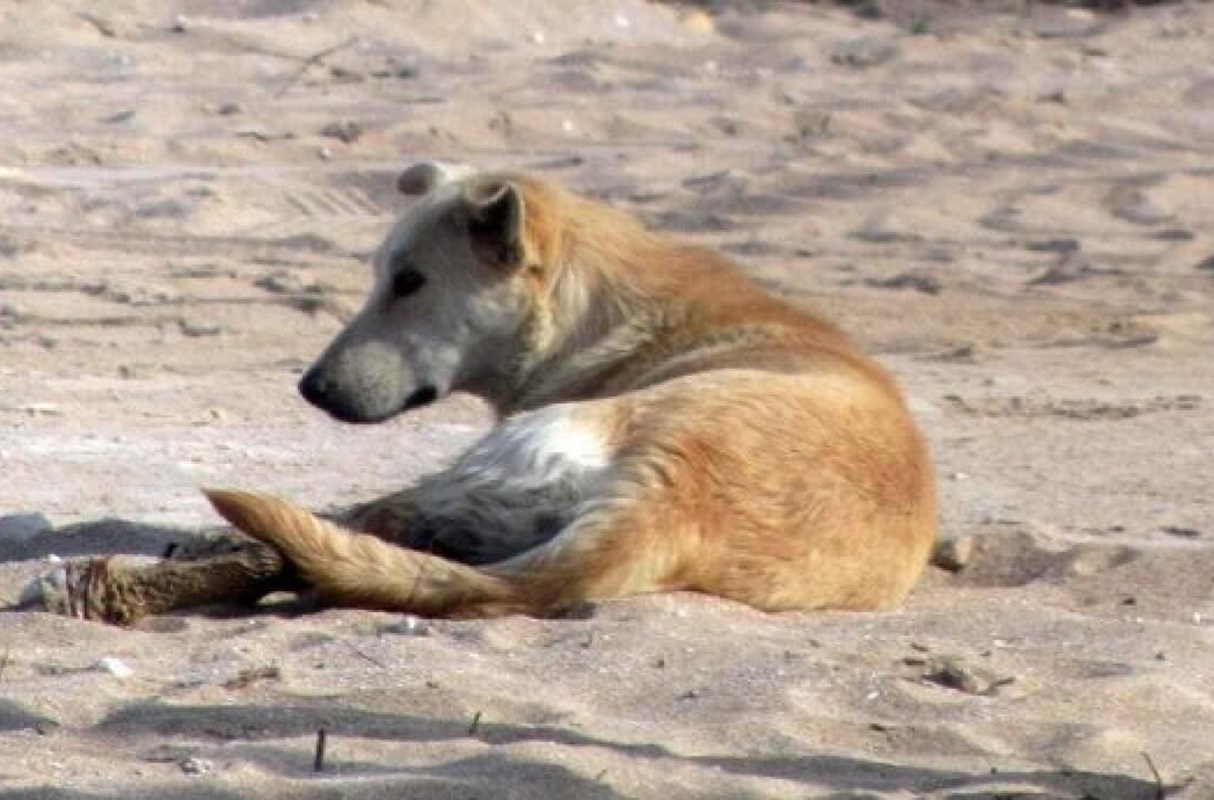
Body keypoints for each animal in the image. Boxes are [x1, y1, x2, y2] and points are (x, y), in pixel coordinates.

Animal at [30, 162, 937, 626]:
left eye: (408, 282)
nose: (310, 389)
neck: (603, 311)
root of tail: (672, 504)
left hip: (497, 461)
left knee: (325, 534)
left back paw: (125, 577)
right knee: (361, 555)